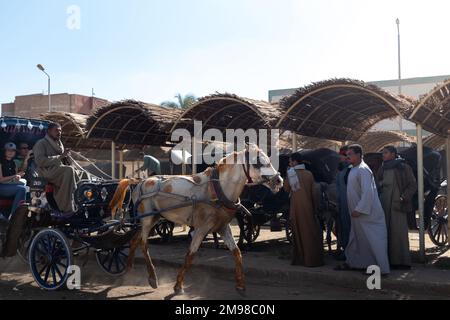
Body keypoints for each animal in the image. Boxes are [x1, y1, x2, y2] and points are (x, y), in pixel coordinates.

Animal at [109, 144, 284, 296]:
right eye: (257, 162)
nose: (279, 180)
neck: (218, 190)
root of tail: (141, 182)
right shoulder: (201, 228)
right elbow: (190, 255)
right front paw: (178, 286)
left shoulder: (222, 227)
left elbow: (237, 253)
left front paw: (240, 285)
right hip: (147, 219)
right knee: (144, 244)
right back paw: (152, 278)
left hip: (154, 219)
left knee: (135, 240)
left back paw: (128, 269)